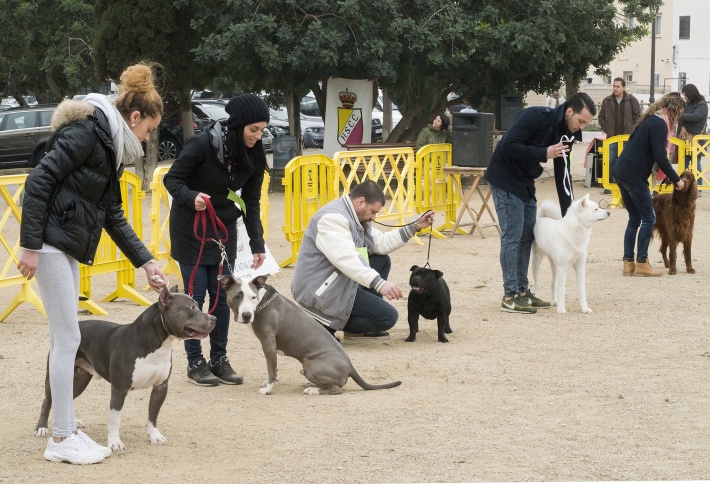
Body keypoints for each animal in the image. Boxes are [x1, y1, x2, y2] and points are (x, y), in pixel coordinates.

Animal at [35, 286, 214, 452]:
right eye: (191, 307)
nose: (214, 318)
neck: (154, 344)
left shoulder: (160, 387)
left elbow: (153, 414)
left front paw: (155, 436)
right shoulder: (119, 389)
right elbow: (115, 419)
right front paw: (114, 443)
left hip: (80, 378)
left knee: (68, 397)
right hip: (55, 374)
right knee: (47, 400)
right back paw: (41, 427)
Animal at [220, 274, 404, 396]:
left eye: (252, 297)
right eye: (237, 296)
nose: (246, 315)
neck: (262, 302)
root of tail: (350, 365)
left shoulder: (268, 344)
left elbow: (271, 369)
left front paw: (268, 388)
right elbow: (273, 368)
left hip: (309, 366)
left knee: (337, 389)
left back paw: (313, 389)